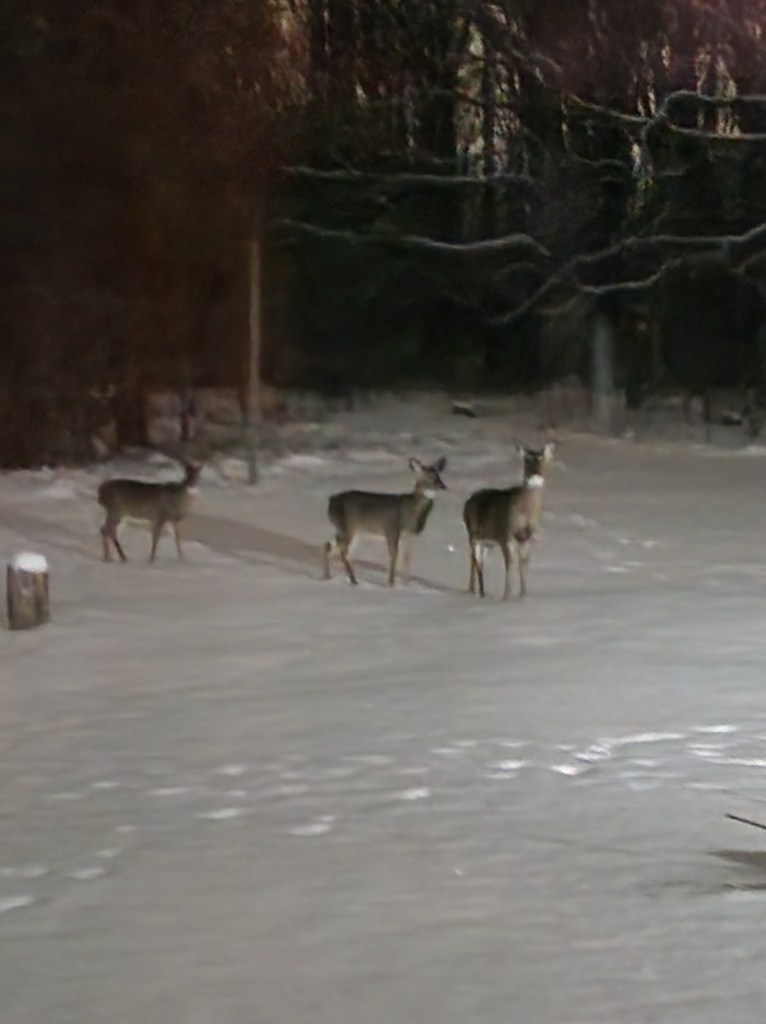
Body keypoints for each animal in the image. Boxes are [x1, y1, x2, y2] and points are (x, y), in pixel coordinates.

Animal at [322, 457, 448, 586]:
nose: (442, 486)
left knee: (328, 545)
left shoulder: (407, 536)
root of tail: (331, 500)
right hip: (349, 526)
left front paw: (405, 584)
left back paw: (327, 576)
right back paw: (353, 580)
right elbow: (393, 556)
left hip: (346, 529)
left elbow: (406, 558)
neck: (412, 511)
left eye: (439, 476)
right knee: (342, 552)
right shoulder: (392, 529)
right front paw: (390, 583)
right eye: (428, 476)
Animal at [463, 442, 556, 601]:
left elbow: (523, 565)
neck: (526, 513)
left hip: (488, 542)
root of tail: (466, 503)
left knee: (477, 559)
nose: (535, 476)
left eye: (542, 459)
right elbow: (509, 565)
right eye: (526, 460)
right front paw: (506, 597)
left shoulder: (526, 538)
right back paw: (474, 591)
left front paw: (523, 595)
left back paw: (477, 591)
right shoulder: (505, 535)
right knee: (474, 559)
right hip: (473, 533)